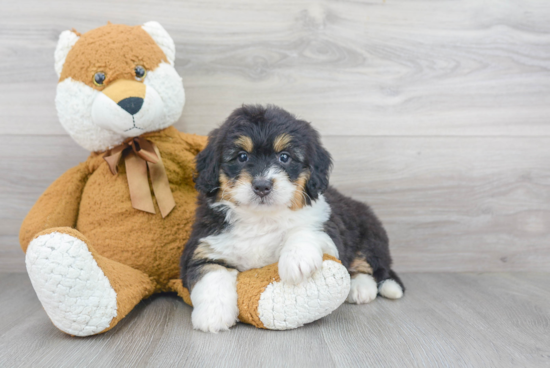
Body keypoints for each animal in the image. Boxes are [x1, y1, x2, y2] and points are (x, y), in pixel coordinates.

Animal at [181, 105, 406, 332]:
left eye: (284, 157)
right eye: (242, 156)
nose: (262, 186)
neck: (261, 218)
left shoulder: (330, 232)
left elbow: (304, 230)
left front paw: (297, 260)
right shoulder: (203, 246)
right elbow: (211, 273)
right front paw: (213, 315)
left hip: (369, 233)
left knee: (370, 266)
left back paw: (362, 288)